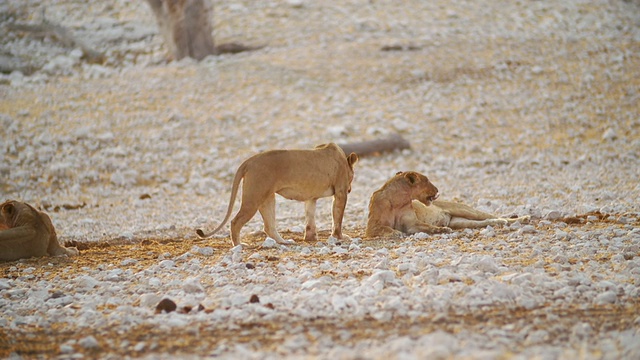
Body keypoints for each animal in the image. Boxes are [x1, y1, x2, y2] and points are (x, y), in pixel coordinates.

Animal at [195, 143, 358, 248]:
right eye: (351, 178)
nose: (351, 189)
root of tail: (249, 161)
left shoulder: (311, 197)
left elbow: (310, 218)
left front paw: (310, 238)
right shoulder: (341, 191)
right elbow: (337, 218)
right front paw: (340, 237)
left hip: (266, 197)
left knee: (269, 227)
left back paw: (284, 242)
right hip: (254, 197)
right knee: (235, 222)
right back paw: (239, 245)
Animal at [364, 172, 528, 239]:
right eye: (427, 180)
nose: (437, 190)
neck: (399, 200)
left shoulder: (413, 224)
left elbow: (429, 227)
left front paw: (442, 229)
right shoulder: (371, 227)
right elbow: (385, 228)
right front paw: (395, 232)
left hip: (465, 210)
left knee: (490, 215)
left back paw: (522, 218)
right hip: (462, 222)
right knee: (487, 221)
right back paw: (503, 222)